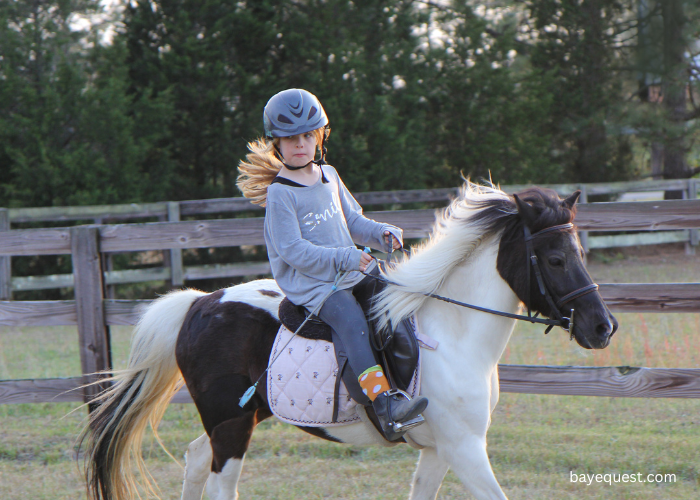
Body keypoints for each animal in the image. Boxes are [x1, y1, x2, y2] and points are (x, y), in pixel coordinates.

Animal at [80, 184, 616, 500]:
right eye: (554, 259)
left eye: (579, 251)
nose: (602, 327)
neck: (453, 335)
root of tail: (198, 304)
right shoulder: (464, 448)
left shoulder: (439, 450)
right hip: (231, 427)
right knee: (218, 483)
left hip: (240, 416)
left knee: (194, 460)